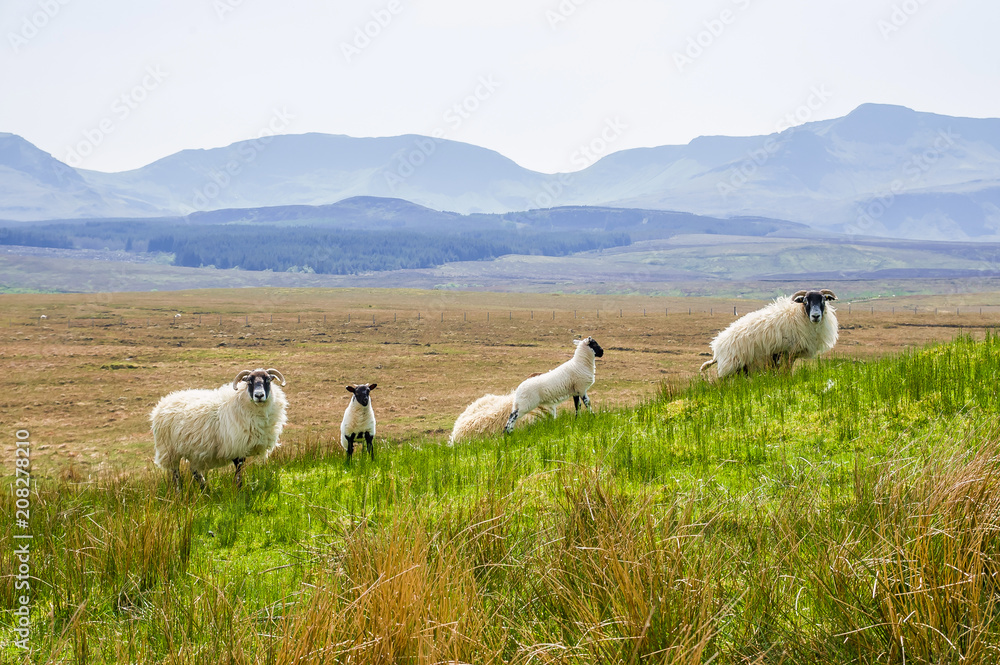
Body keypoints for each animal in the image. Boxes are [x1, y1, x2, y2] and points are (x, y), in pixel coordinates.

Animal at [151, 368, 287, 489]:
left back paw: (205, 490)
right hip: (169, 450)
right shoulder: (236, 447)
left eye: (268, 379)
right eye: (249, 381)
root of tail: (163, 403)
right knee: (176, 474)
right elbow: (238, 473)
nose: (259, 395)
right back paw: (180, 492)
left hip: (192, 450)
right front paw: (239, 491)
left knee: (195, 472)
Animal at [700, 289, 838, 379]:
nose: (816, 316)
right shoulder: (786, 352)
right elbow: (786, 371)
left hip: (741, 368)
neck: (799, 315)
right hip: (730, 366)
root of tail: (717, 348)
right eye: (805, 301)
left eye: (823, 300)